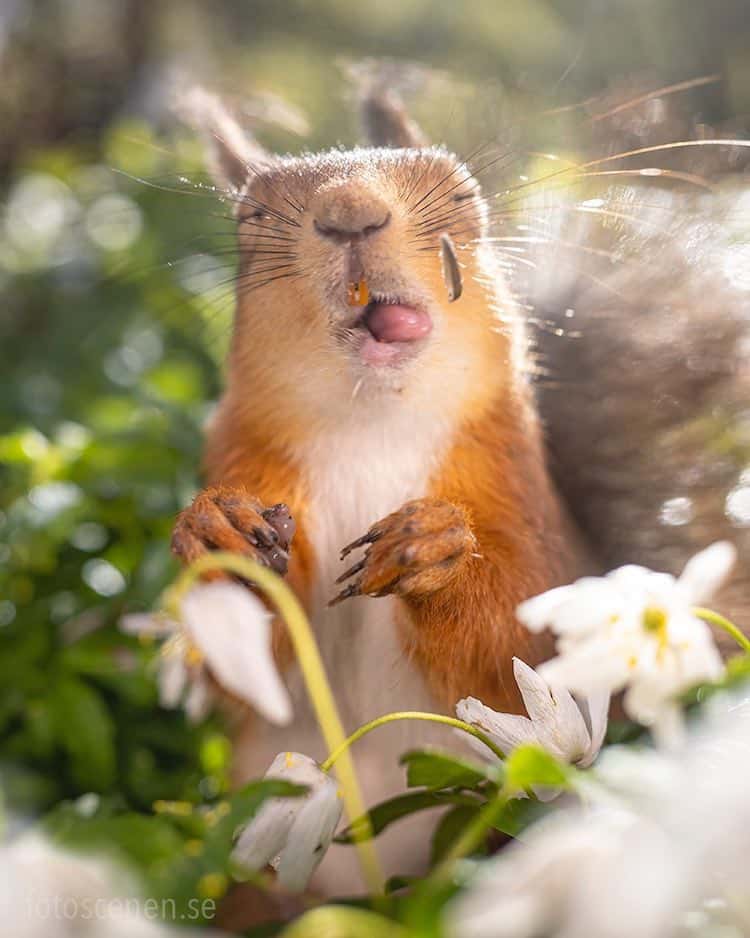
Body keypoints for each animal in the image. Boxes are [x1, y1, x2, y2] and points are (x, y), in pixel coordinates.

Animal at [170, 77, 750, 888]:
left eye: (462, 191)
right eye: (250, 217)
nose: (350, 211)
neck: (371, 424)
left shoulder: (517, 492)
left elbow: (517, 639)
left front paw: (436, 547)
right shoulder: (249, 459)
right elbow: (240, 670)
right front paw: (213, 529)